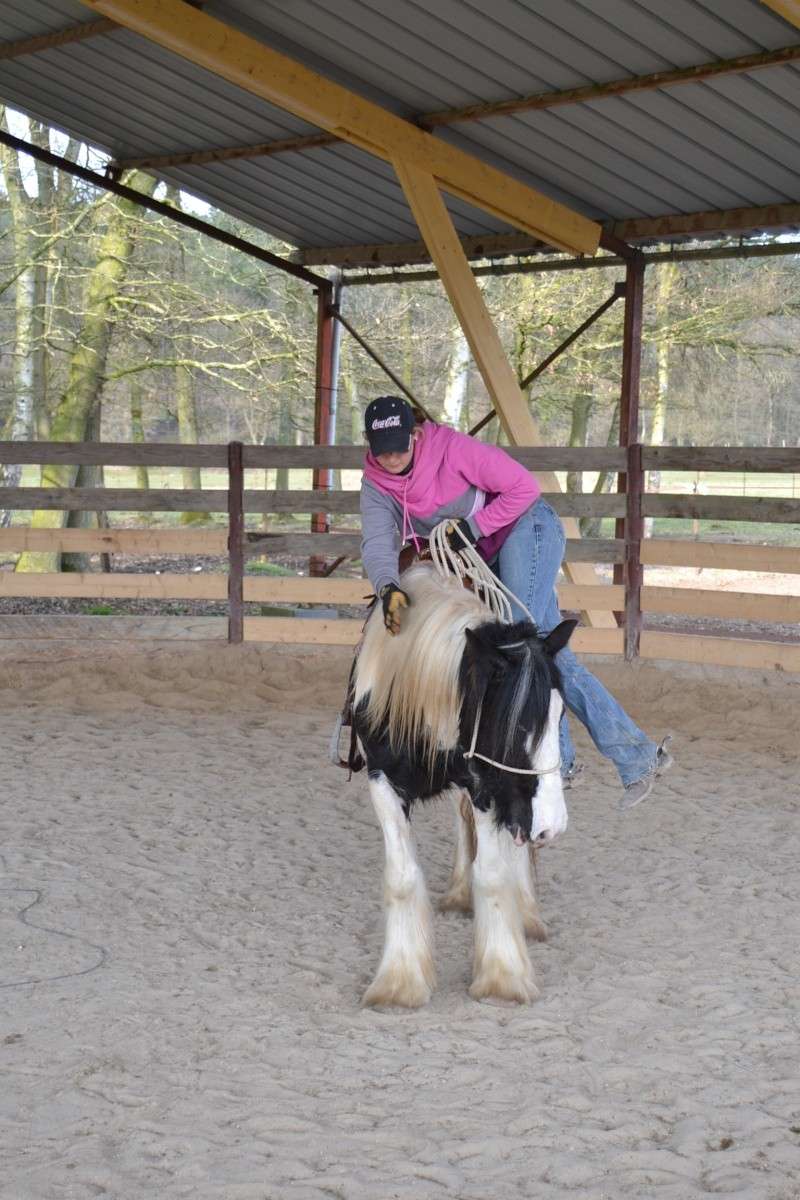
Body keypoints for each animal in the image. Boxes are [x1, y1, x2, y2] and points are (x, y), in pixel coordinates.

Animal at [352, 561, 575, 1003]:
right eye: (516, 722)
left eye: (559, 714)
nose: (553, 825)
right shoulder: (381, 780)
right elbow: (402, 876)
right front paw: (399, 982)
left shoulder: (487, 786)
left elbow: (492, 873)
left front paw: (502, 976)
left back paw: (525, 915)